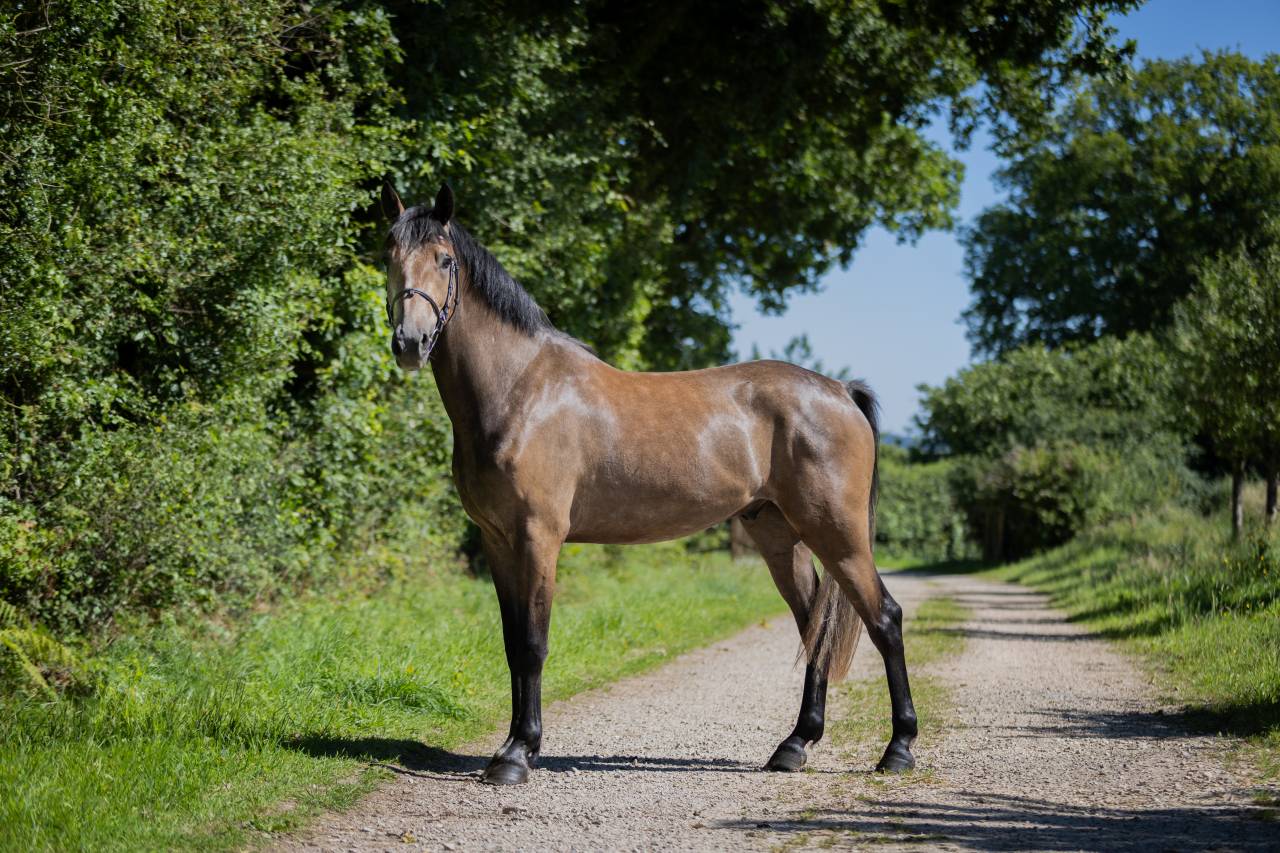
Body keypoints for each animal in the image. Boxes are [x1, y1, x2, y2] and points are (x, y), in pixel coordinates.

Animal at [379, 181, 917, 786]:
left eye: (445, 260)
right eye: (389, 255)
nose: (409, 342)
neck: (521, 391)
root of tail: (840, 390)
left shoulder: (539, 537)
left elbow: (535, 644)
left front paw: (518, 755)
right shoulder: (498, 541)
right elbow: (514, 645)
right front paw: (514, 747)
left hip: (838, 534)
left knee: (885, 618)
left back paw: (897, 750)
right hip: (781, 536)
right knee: (812, 628)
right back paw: (794, 746)